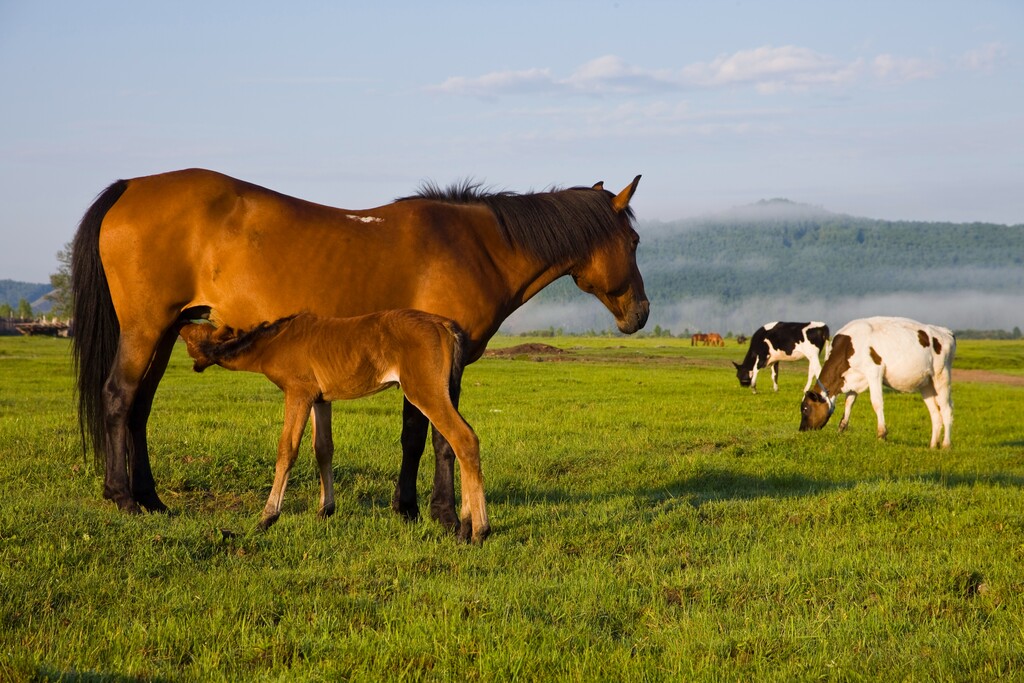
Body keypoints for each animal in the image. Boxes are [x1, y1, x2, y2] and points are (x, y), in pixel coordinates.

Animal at [178, 311, 489, 544]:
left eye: (191, 336)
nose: (180, 323)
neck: (276, 340)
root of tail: (445, 326)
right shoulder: (320, 399)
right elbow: (323, 449)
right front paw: (325, 510)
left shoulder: (298, 393)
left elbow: (287, 450)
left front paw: (267, 517)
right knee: (459, 442)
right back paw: (465, 525)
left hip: (425, 391)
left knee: (464, 439)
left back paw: (479, 531)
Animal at [794, 317, 954, 450]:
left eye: (805, 408)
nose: (802, 429)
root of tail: (946, 332)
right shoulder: (854, 378)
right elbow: (848, 403)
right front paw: (841, 429)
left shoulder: (874, 372)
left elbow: (876, 403)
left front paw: (881, 435)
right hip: (926, 384)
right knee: (935, 413)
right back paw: (932, 446)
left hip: (941, 376)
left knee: (946, 410)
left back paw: (946, 445)